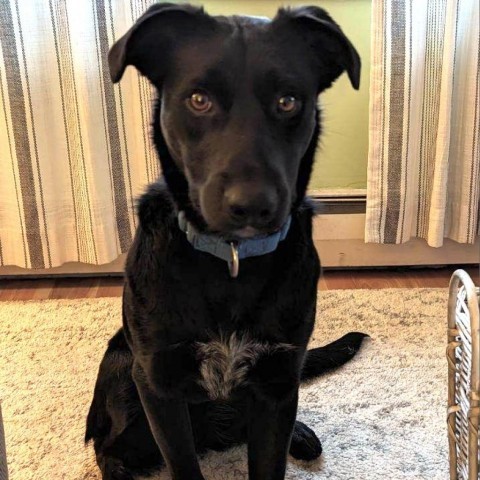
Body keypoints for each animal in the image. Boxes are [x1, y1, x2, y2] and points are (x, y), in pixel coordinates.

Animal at [85, 4, 368, 480]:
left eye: (288, 101)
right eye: (199, 100)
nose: (252, 206)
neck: (231, 260)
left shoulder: (277, 382)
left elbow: (269, 458)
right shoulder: (158, 384)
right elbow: (181, 463)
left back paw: (300, 433)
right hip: (125, 375)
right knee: (108, 448)